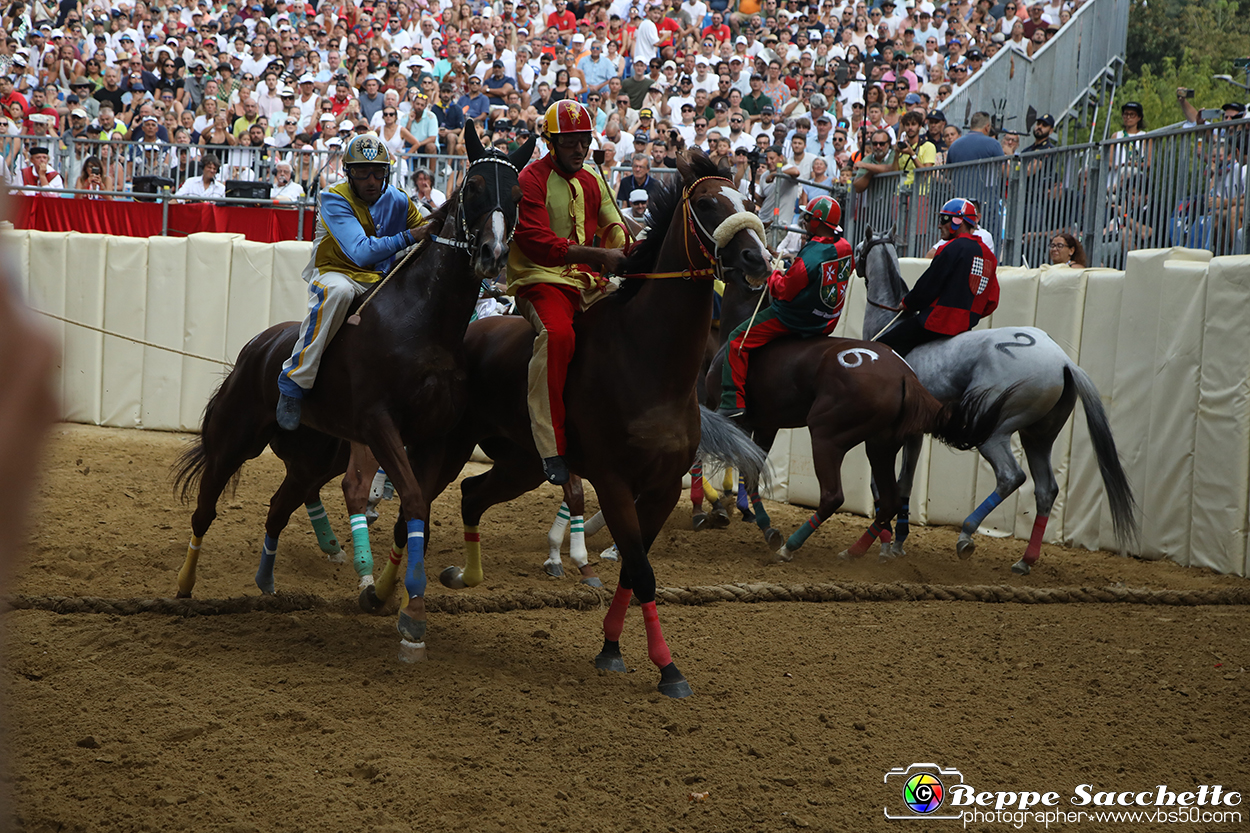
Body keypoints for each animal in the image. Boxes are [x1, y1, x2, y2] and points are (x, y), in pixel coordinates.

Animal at [171, 126, 532, 655]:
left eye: (520, 195)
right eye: (476, 186)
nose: (493, 254)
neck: (423, 326)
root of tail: (257, 347)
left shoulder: (435, 438)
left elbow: (414, 511)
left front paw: (394, 601)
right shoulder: (380, 426)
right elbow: (412, 502)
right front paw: (409, 614)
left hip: (315, 457)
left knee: (278, 508)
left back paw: (266, 582)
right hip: (232, 441)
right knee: (205, 510)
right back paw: (184, 585)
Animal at [360, 150, 770, 695]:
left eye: (748, 201)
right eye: (706, 204)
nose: (757, 260)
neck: (650, 362)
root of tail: (468, 335)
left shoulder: (660, 488)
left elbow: (634, 570)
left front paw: (614, 647)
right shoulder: (614, 481)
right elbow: (640, 570)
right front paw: (666, 667)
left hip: (524, 463)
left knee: (471, 494)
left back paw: (458, 576)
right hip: (448, 448)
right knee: (418, 506)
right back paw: (386, 597)